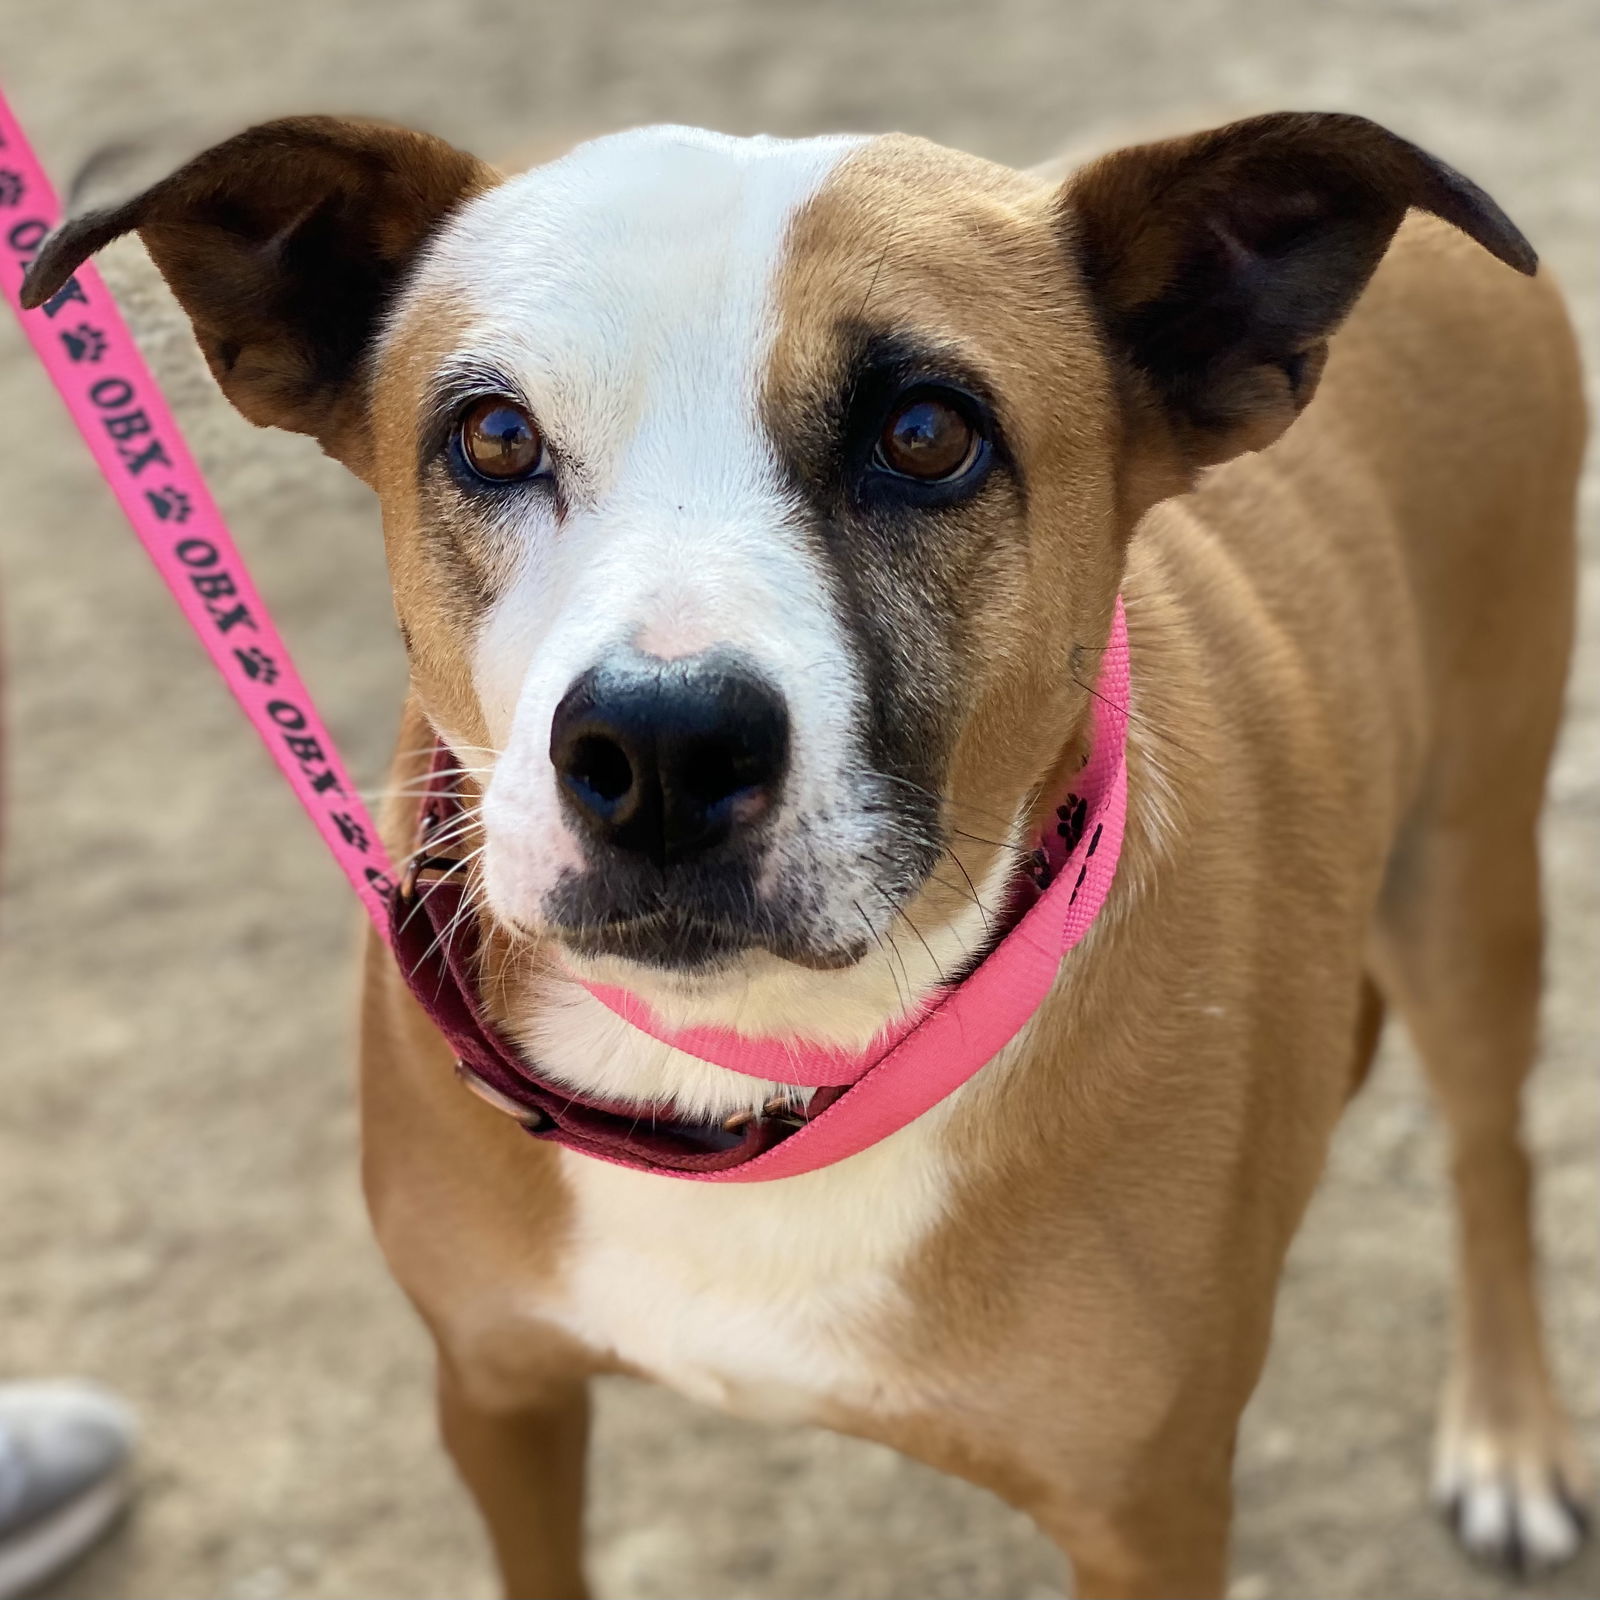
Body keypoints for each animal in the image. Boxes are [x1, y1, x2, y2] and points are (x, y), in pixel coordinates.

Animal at [31, 106, 1593, 1593]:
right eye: (493, 437)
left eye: (926, 435)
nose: (659, 750)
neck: (755, 1074)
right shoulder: (495, 1389)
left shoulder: (1147, 1512)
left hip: (1473, 872)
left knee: (1491, 1155)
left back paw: (1510, 1437)